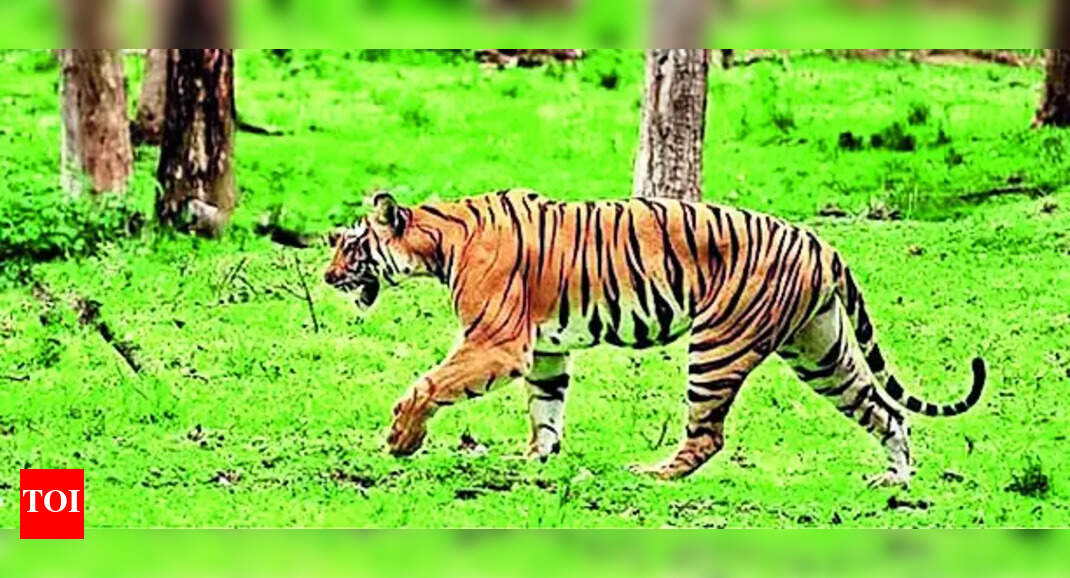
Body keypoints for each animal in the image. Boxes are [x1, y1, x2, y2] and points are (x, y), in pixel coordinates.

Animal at [324, 189, 986, 486]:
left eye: (350, 246)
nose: (328, 277)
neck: (438, 240)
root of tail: (820, 241)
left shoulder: (496, 342)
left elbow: (428, 384)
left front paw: (401, 440)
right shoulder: (545, 348)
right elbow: (546, 409)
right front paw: (537, 459)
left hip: (716, 346)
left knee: (708, 435)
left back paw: (654, 473)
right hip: (821, 351)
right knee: (886, 411)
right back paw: (894, 480)